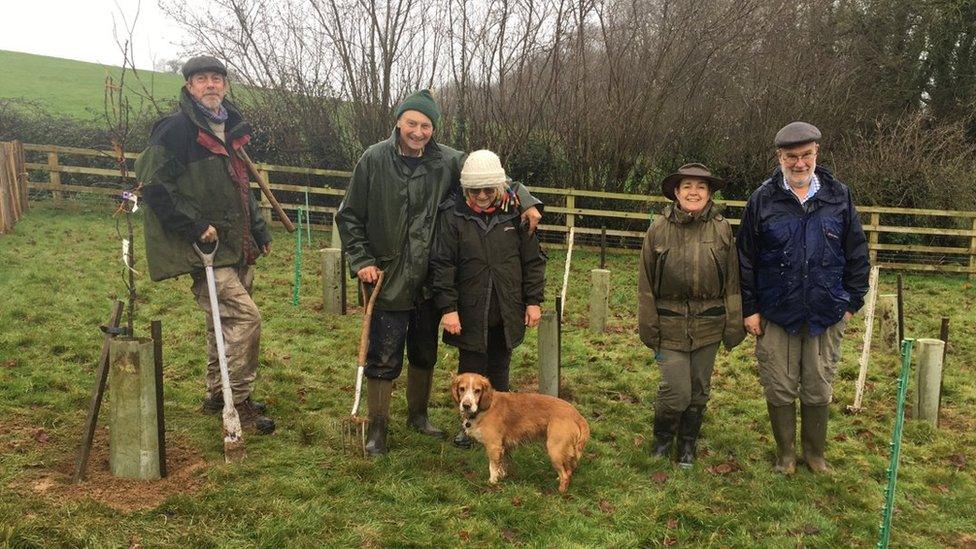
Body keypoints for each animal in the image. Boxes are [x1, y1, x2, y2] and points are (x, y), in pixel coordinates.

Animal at [452, 372, 596, 492]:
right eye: (462, 389)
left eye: (477, 391)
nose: (466, 405)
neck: (484, 408)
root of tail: (577, 415)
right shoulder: (503, 447)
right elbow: (502, 465)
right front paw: (502, 476)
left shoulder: (494, 446)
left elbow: (493, 467)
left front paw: (492, 482)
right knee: (569, 470)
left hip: (554, 450)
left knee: (566, 475)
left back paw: (560, 491)